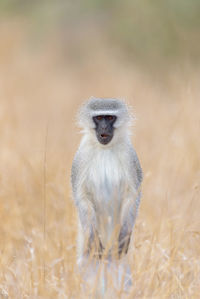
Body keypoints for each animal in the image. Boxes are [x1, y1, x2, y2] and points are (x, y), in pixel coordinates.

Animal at [71, 97, 141, 288]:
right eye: (99, 118)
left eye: (109, 118)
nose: (103, 128)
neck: (105, 149)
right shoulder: (81, 155)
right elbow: (81, 195)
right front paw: (93, 238)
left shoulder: (130, 155)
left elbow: (133, 194)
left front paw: (124, 235)